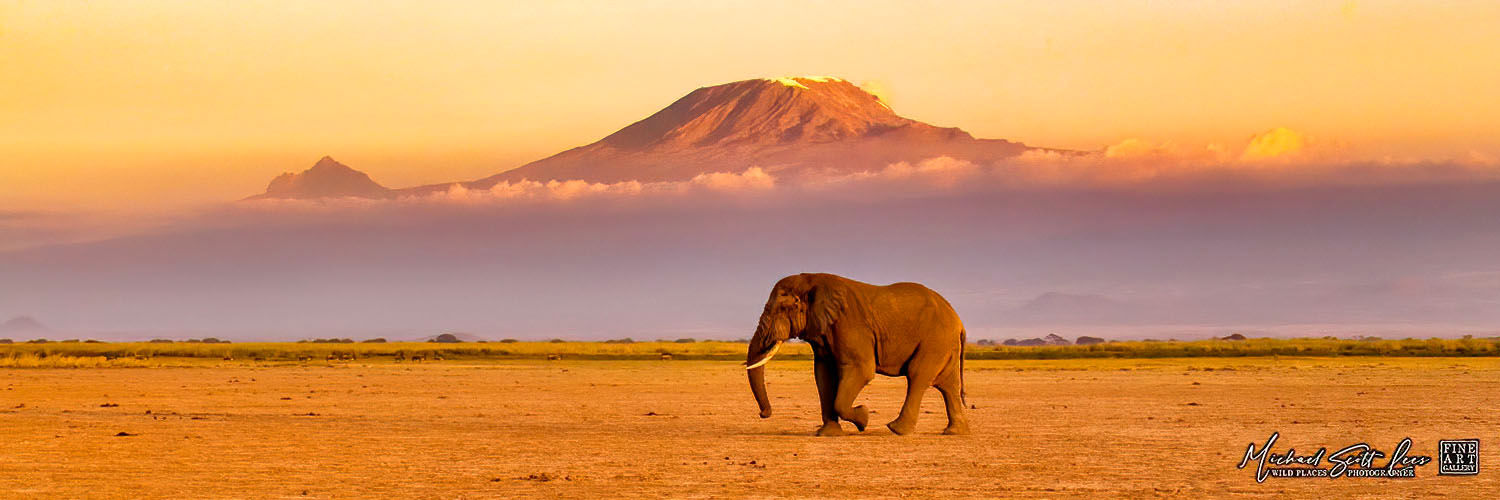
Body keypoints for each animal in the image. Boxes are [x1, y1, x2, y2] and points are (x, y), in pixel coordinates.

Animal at [744, 273, 970, 436]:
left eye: (782, 309)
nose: (764, 414)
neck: (811, 281)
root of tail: (959, 321)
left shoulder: (850, 324)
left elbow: (862, 370)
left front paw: (864, 418)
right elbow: (824, 375)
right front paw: (828, 434)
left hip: (935, 341)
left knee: (917, 376)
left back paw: (896, 430)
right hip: (945, 344)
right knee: (947, 385)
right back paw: (954, 432)